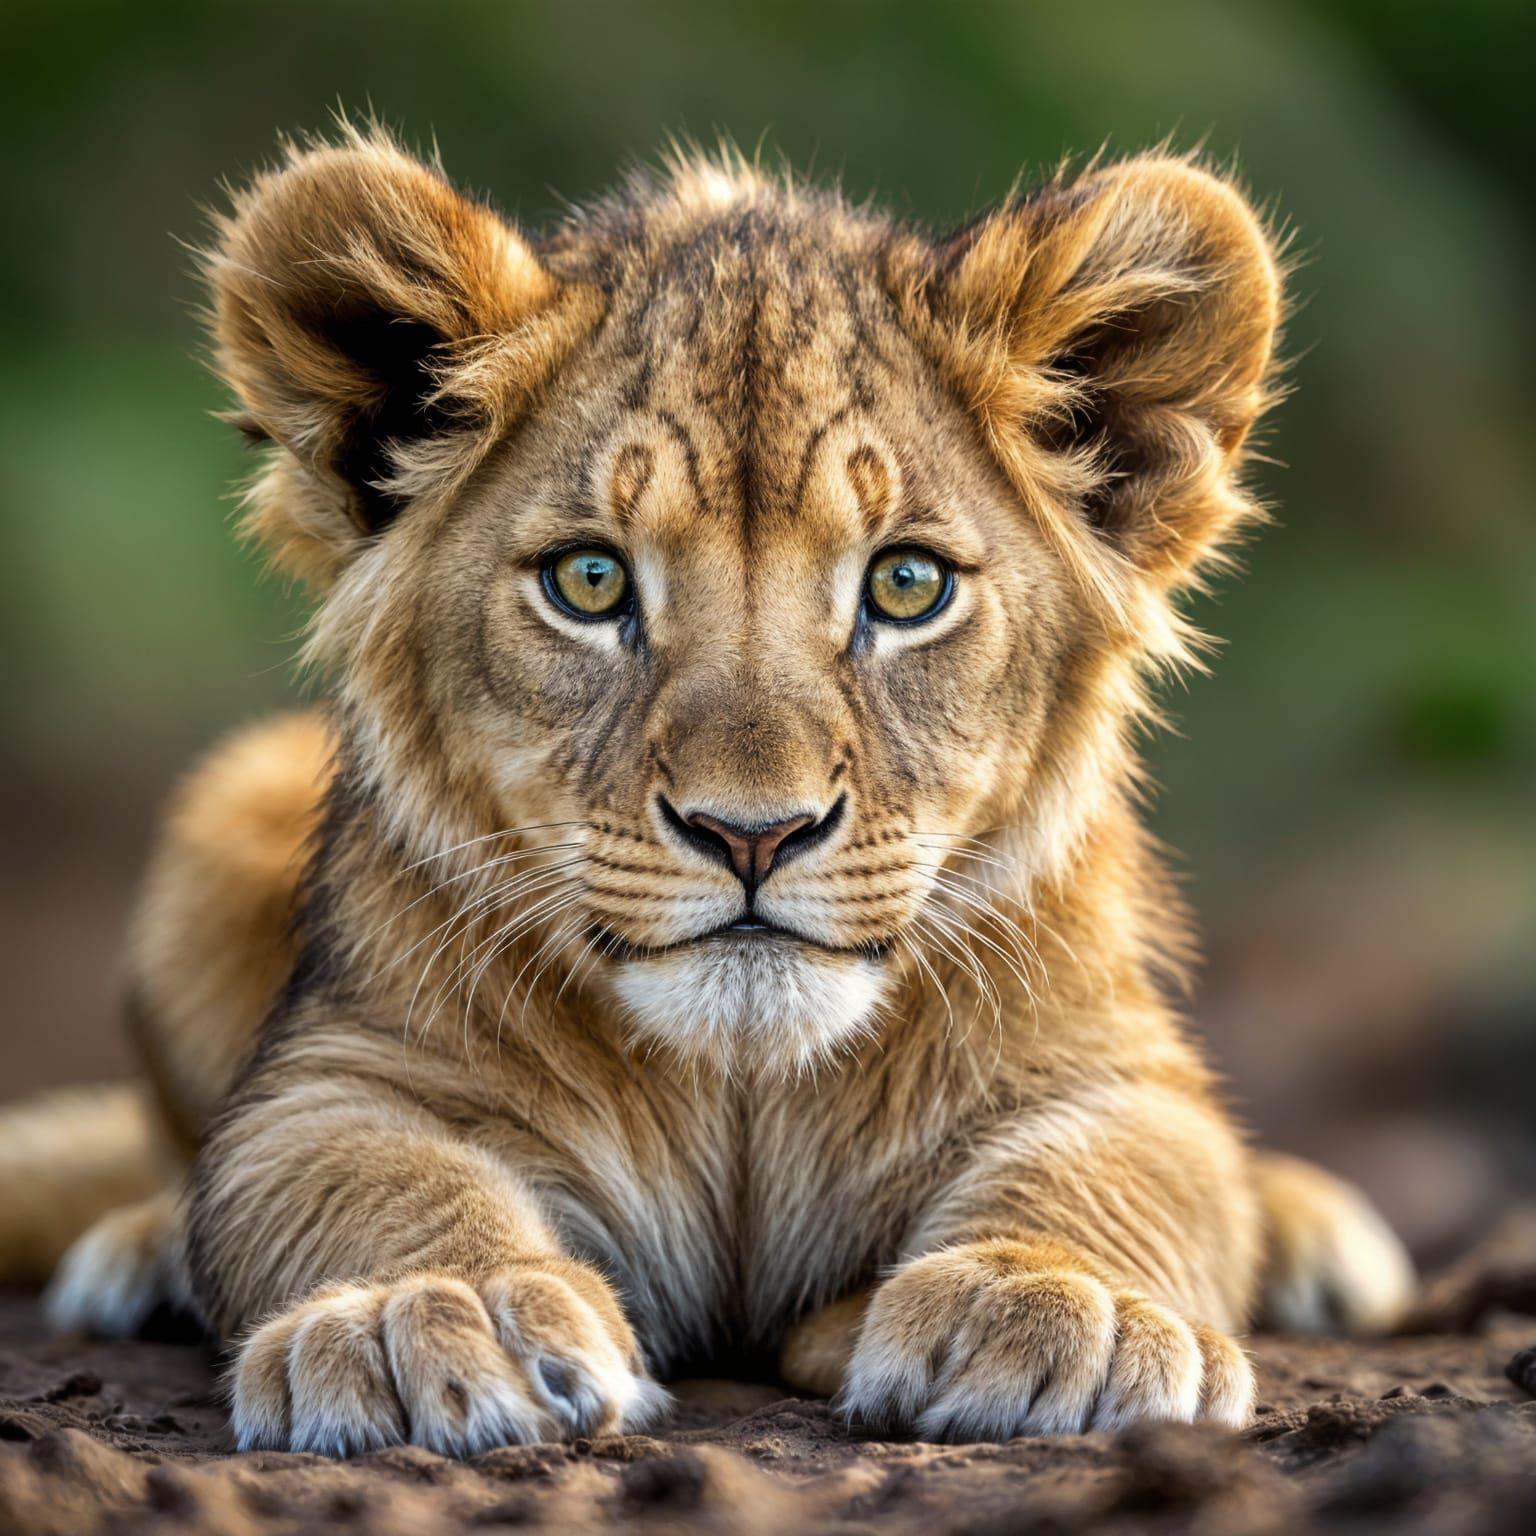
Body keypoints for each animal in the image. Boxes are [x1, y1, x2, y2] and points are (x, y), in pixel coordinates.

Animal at [0, 128, 1414, 1454]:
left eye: (907, 584)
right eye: (588, 582)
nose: (753, 834)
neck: (743, 1092)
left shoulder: (1107, 1057)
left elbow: (1132, 1168)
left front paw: (1061, 1306)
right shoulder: (340, 1065)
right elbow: (355, 1177)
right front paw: (433, 1314)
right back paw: (143, 1254)